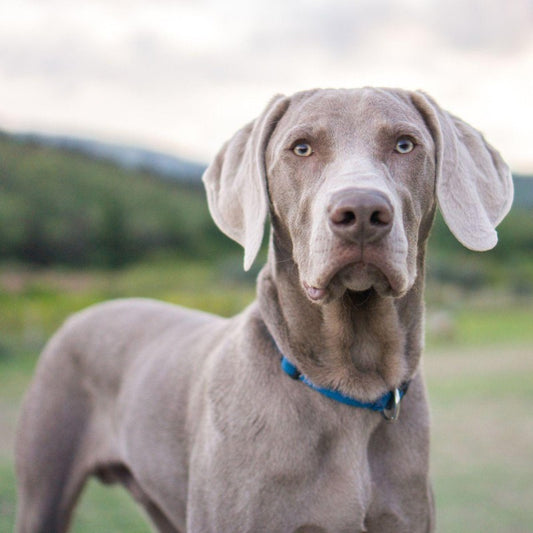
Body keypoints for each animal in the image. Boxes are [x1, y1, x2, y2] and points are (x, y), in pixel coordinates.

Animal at [15, 87, 512, 528]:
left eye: (405, 144)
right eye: (301, 147)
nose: (362, 212)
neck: (350, 384)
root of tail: (80, 314)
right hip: (45, 487)